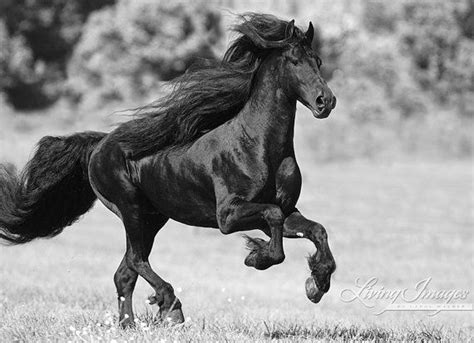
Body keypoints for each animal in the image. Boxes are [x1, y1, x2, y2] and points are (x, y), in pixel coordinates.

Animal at [1, 14, 338, 328]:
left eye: (318, 61)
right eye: (294, 60)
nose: (326, 101)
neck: (258, 146)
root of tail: (99, 147)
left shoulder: (287, 210)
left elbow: (315, 229)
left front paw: (317, 283)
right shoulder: (228, 216)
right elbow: (274, 221)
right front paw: (257, 257)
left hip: (151, 219)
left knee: (125, 272)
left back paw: (130, 324)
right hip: (132, 211)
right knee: (136, 261)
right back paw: (170, 306)